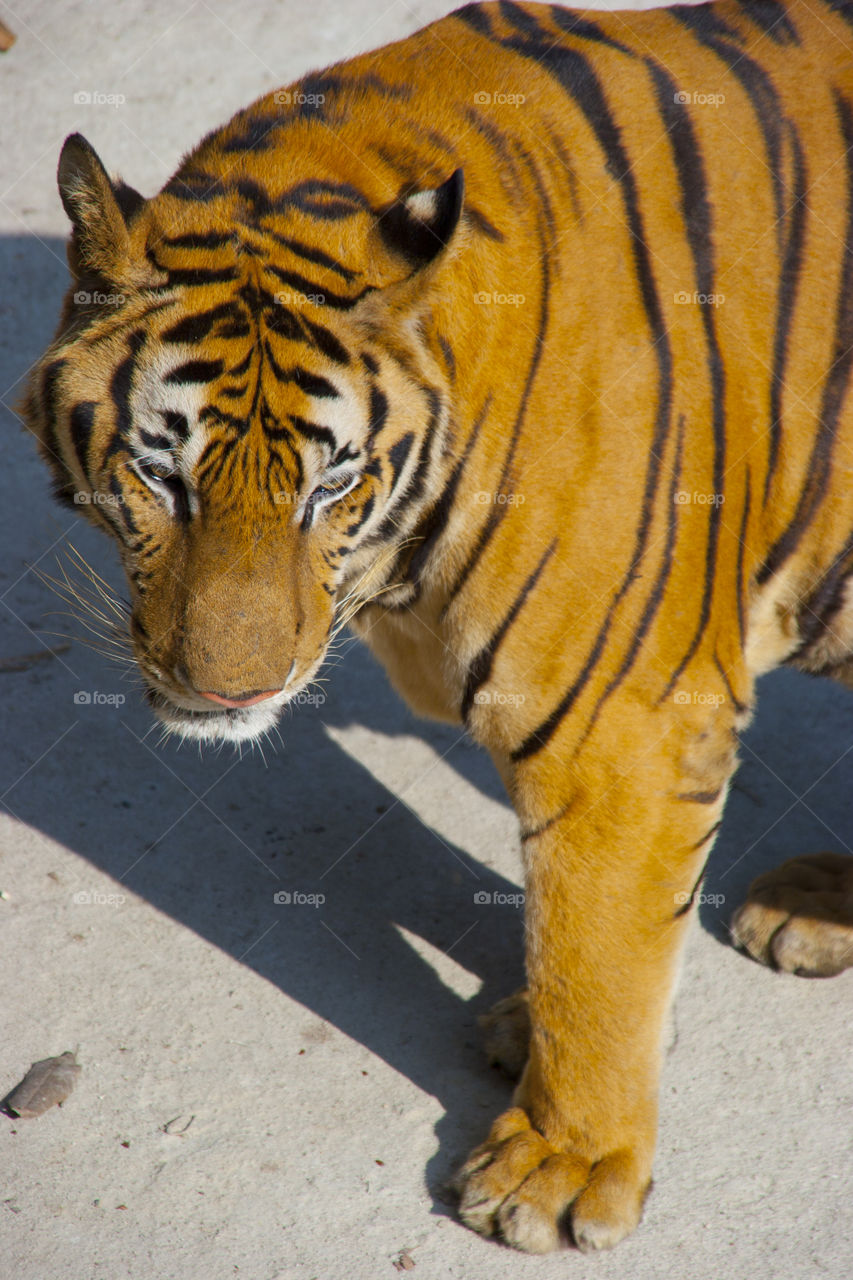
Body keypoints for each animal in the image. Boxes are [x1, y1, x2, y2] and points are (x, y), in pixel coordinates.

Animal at [18, 0, 850, 1254]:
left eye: (328, 486)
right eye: (163, 473)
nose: (231, 691)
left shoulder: (624, 723)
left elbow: (594, 941)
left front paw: (560, 1160)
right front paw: (528, 1027)